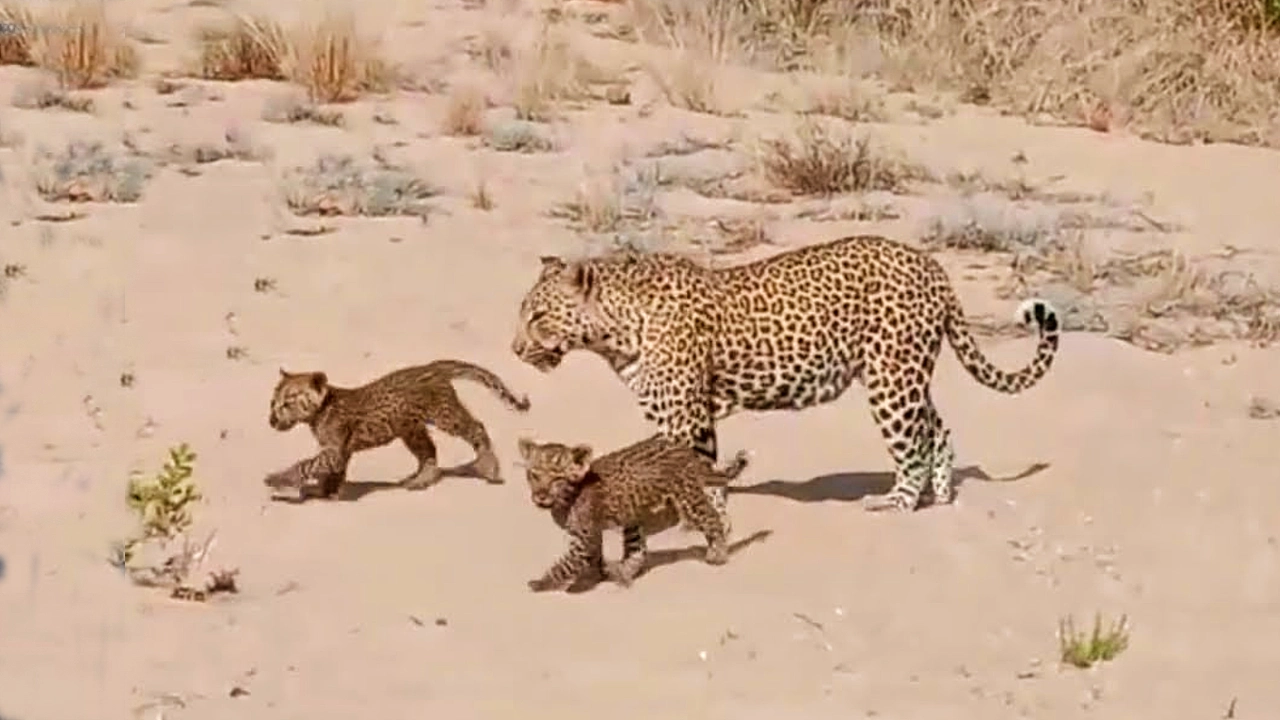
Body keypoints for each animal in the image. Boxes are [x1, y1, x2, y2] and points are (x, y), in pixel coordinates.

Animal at [509, 235, 1059, 515]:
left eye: (537, 317)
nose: (514, 349)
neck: (616, 331)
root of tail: (934, 267)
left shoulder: (686, 416)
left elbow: (695, 468)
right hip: (900, 371)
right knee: (936, 428)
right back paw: (938, 496)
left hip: (891, 379)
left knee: (912, 442)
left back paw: (898, 501)